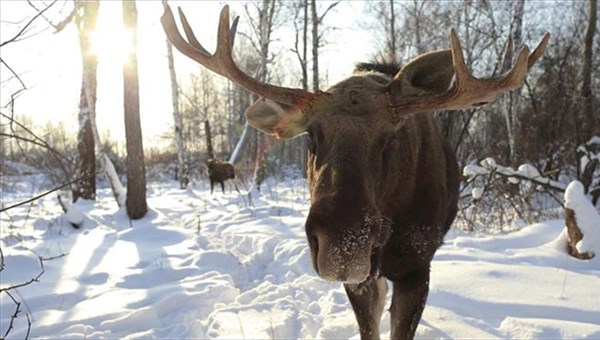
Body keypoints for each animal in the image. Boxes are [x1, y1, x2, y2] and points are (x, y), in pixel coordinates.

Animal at [161, 5, 548, 340]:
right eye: (312, 134)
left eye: (394, 134)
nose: (343, 246)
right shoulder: (360, 279)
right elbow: (370, 327)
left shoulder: (417, 267)